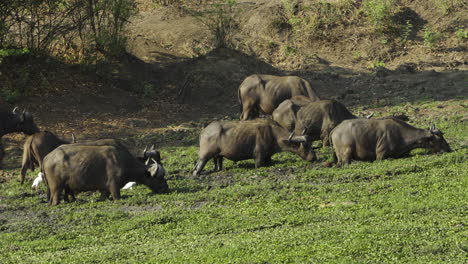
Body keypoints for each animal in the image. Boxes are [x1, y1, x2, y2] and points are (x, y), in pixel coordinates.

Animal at [42, 143, 170, 205]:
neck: (123, 162)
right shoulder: (114, 186)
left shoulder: (105, 189)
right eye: (159, 178)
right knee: (55, 200)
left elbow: (103, 196)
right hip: (56, 187)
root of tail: (46, 157)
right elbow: (117, 197)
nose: (166, 189)